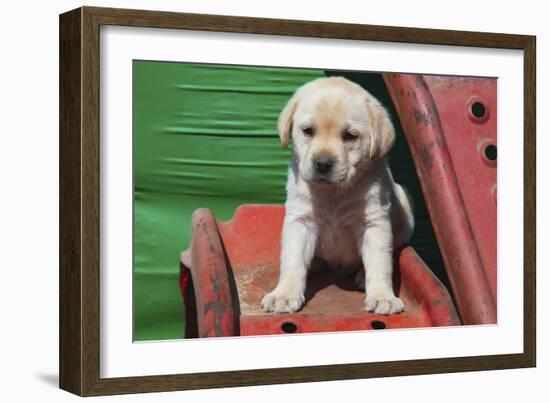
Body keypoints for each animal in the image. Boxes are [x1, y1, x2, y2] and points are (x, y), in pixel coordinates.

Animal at [264, 76, 414, 316]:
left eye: (350, 136)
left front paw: (383, 297)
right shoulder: (300, 220)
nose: (323, 163)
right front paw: (284, 295)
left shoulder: (374, 223)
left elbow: (380, 264)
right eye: (308, 131)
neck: (332, 192)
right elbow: (292, 262)